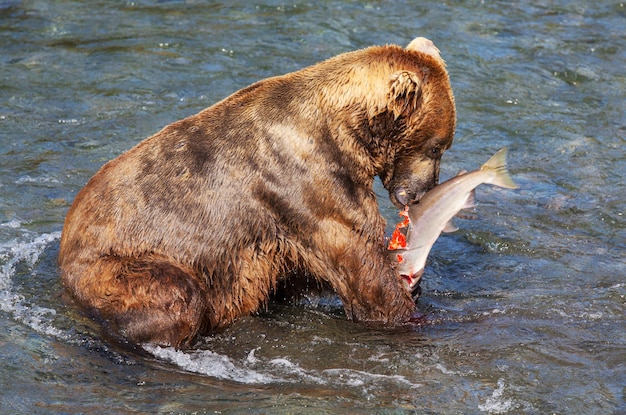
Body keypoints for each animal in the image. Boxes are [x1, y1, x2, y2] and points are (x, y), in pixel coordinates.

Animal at [58, 35, 454, 350]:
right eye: (437, 147)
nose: (422, 191)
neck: (347, 133)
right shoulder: (308, 181)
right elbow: (360, 263)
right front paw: (412, 312)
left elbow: (303, 273)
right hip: (116, 262)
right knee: (177, 295)